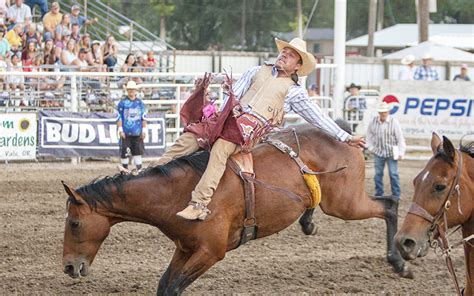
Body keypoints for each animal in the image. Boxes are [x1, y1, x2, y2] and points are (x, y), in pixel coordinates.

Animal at [63, 123, 410, 294]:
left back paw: (400, 261)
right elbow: (164, 285)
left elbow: (174, 287)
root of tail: (347, 139)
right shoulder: (185, 248)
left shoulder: (211, 252)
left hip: (345, 203)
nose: (68, 267)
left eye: (74, 223)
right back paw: (309, 222)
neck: (177, 194)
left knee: (390, 205)